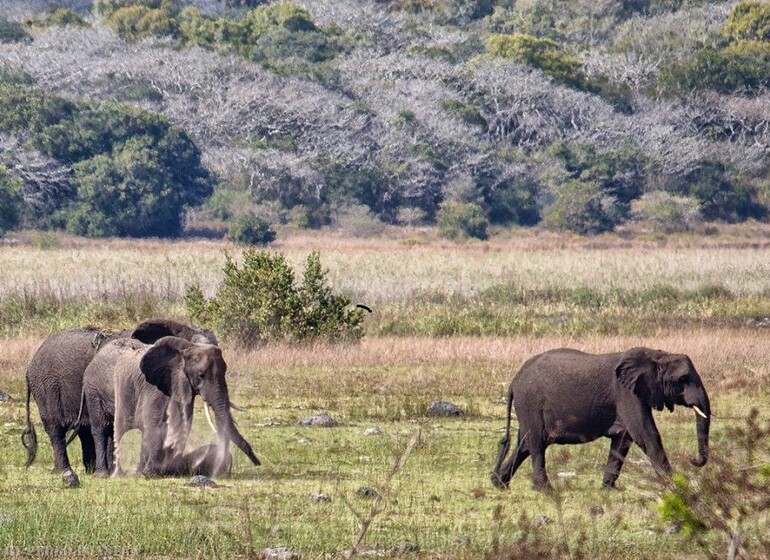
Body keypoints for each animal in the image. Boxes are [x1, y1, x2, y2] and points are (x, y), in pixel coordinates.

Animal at [21, 318, 218, 474]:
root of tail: (29, 367)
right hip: (47, 387)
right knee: (56, 429)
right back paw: (65, 471)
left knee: (86, 429)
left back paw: (90, 470)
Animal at [83, 334, 260, 480]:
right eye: (201, 375)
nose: (257, 463)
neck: (185, 350)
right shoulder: (153, 387)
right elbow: (155, 424)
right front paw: (151, 474)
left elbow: (182, 423)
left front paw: (162, 472)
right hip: (93, 389)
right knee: (101, 428)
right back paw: (103, 475)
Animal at [488, 348, 712, 488]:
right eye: (683, 379)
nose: (693, 459)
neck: (657, 355)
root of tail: (514, 381)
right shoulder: (627, 393)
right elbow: (646, 434)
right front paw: (674, 487)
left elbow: (623, 440)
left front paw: (608, 488)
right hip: (531, 404)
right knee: (535, 442)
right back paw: (545, 489)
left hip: (528, 408)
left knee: (524, 443)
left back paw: (499, 483)